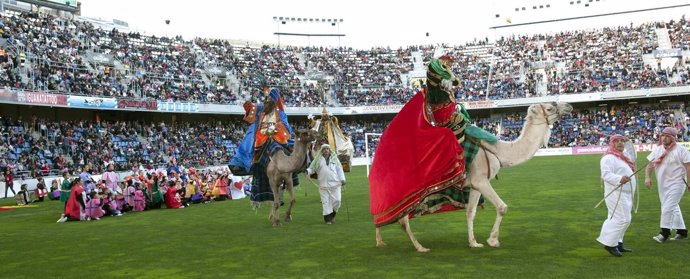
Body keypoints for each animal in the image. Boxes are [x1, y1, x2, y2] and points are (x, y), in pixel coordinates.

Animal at [374, 101, 572, 253]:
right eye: (550, 108)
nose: (569, 106)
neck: (498, 151)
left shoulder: (474, 185)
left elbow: (471, 212)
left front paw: (474, 243)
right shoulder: (481, 179)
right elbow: (502, 207)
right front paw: (493, 240)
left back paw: (380, 241)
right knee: (402, 219)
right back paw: (420, 247)